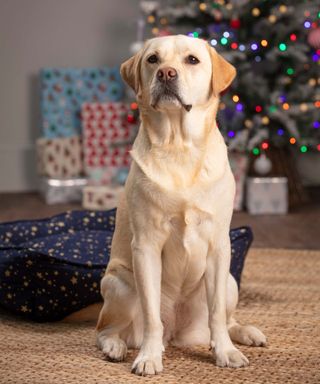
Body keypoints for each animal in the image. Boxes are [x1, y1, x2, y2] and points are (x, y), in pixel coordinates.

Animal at [96, 34, 266, 376]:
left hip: (230, 283)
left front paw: (225, 352)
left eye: (192, 60)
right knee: (106, 330)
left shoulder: (218, 246)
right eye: (153, 60)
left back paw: (246, 334)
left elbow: (217, 315)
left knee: (227, 320)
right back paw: (115, 347)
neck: (179, 146)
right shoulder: (146, 247)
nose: (166, 74)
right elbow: (150, 317)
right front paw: (148, 357)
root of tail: (177, 334)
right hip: (119, 284)